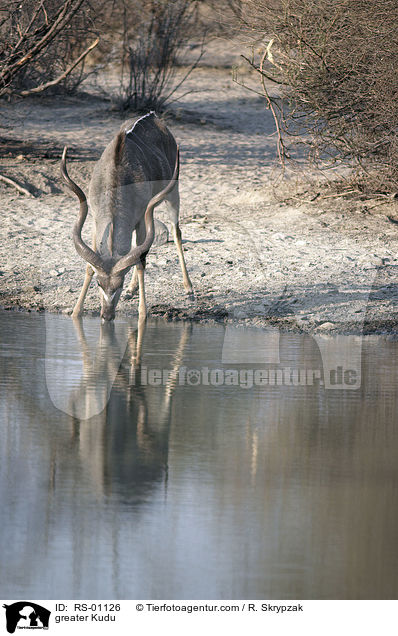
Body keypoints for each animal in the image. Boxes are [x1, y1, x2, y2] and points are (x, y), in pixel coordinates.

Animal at [60, 112, 193, 320]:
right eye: (99, 284)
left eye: (119, 284)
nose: (107, 315)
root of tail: (153, 116)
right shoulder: (96, 220)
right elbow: (90, 266)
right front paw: (76, 311)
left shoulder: (141, 218)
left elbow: (140, 262)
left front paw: (142, 313)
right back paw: (133, 290)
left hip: (173, 193)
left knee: (176, 233)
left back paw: (188, 288)